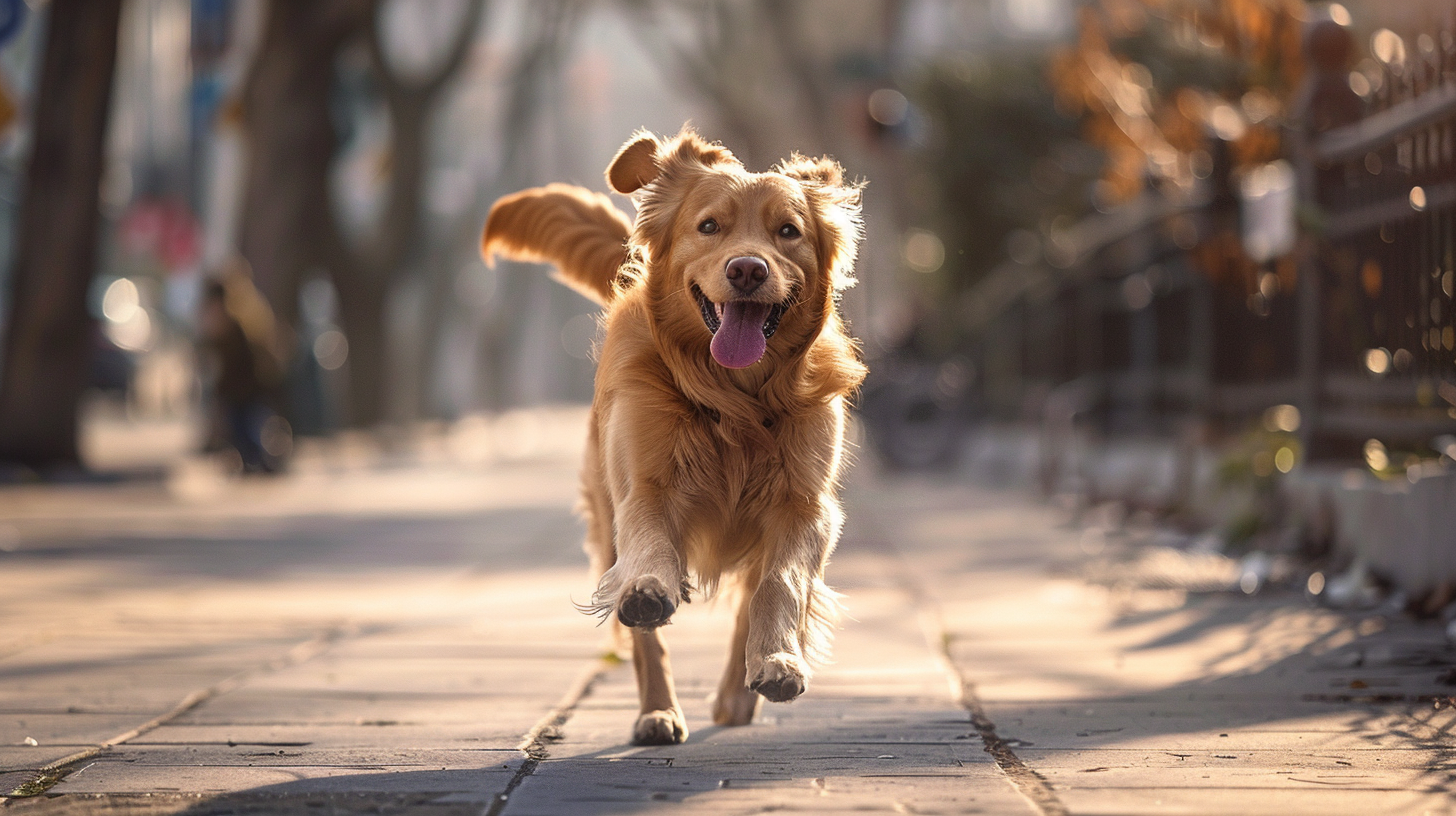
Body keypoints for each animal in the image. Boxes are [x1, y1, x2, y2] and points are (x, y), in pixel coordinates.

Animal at [480, 127, 861, 746]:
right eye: (709, 226)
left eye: (788, 231)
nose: (748, 270)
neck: (734, 400)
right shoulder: (643, 489)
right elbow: (654, 551)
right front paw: (650, 591)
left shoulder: (806, 505)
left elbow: (780, 583)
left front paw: (779, 662)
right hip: (607, 513)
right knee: (645, 637)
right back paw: (657, 712)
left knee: (750, 599)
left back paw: (738, 695)